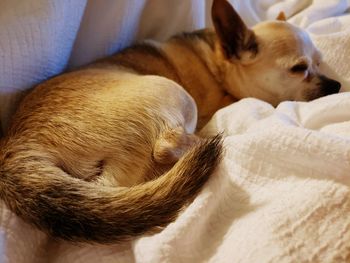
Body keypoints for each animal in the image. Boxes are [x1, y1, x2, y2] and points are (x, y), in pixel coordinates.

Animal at [0, 0, 340, 244]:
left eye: (320, 62)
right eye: (299, 68)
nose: (336, 85)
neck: (217, 60)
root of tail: (16, 147)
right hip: (174, 96)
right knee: (167, 147)